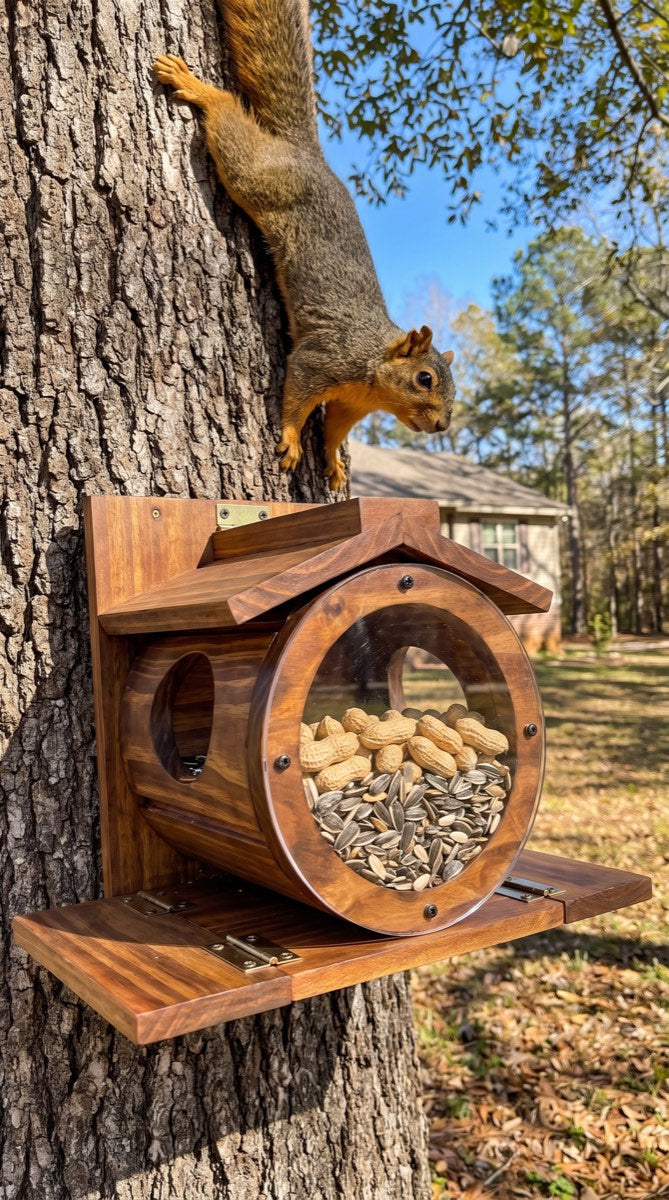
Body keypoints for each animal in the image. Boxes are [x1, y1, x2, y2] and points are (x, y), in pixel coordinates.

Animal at [154, 0, 455, 491]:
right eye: (425, 378)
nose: (443, 425)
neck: (372, 372)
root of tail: (307, 155)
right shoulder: (322, 360)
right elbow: (295, 397)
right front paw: (293, 440)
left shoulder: (350, 403)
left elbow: (334, 430)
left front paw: (332, 461)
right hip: (257, 176)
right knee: (229, 124)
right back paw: (198, 88)